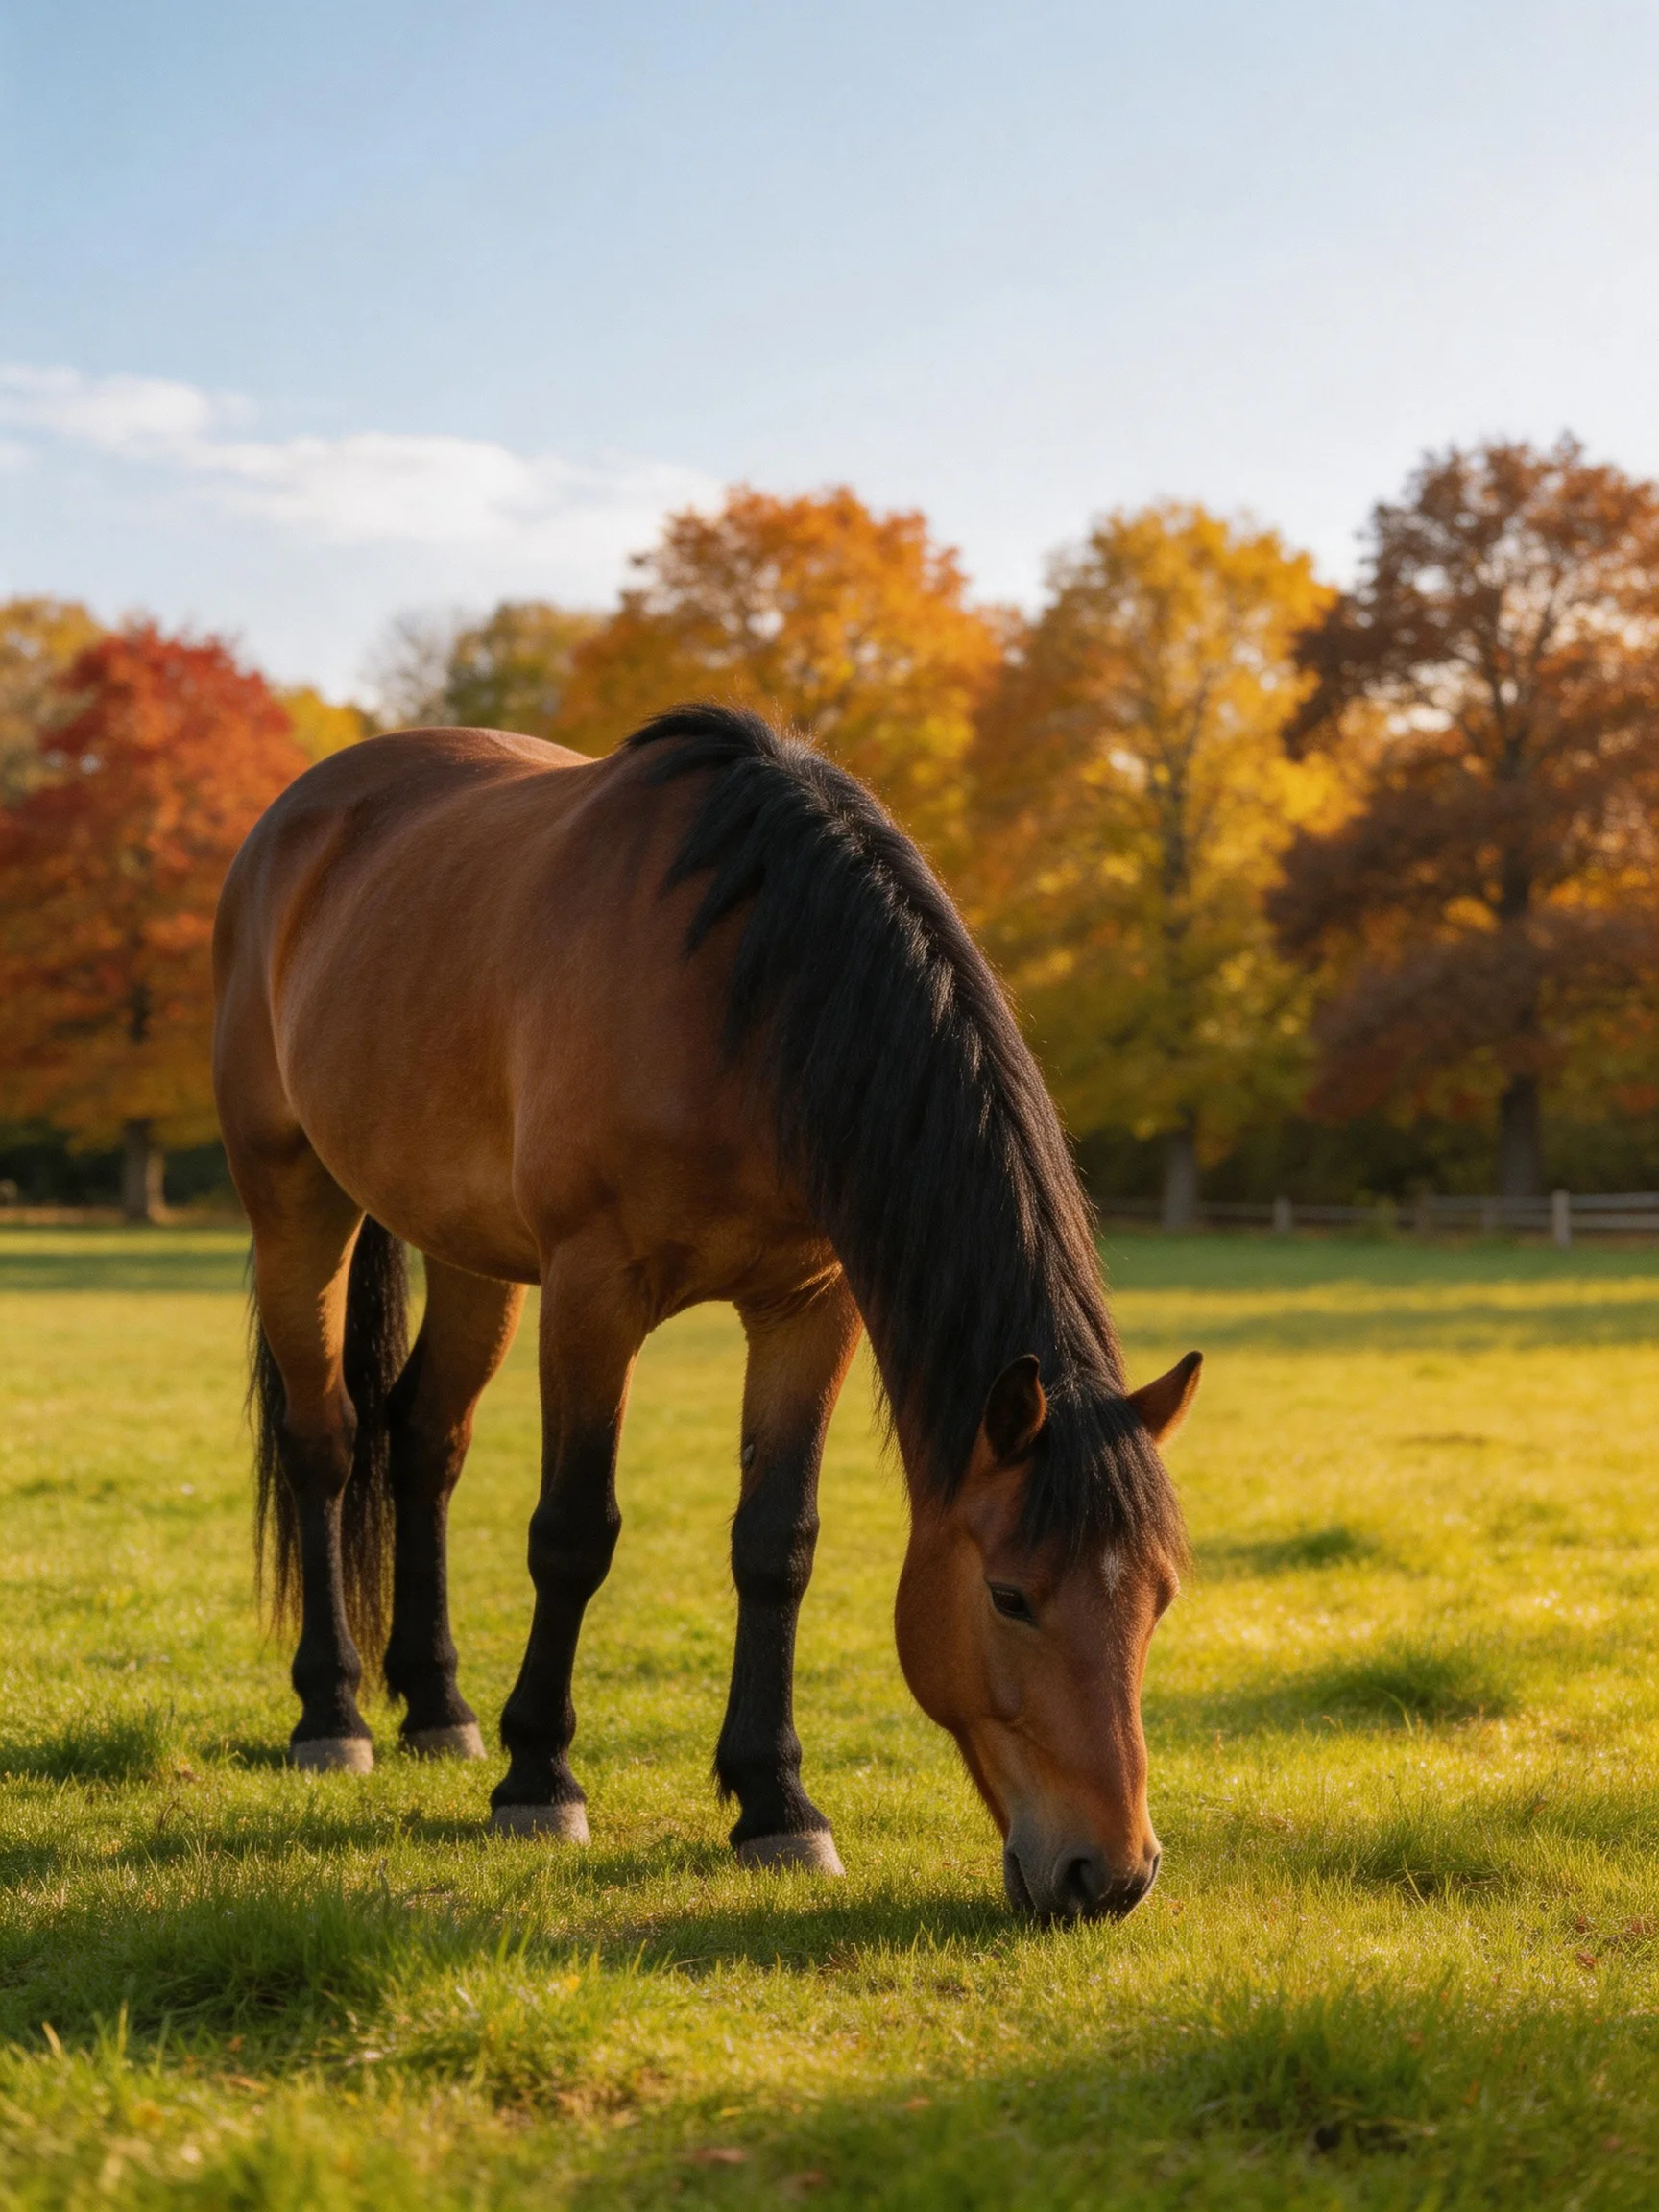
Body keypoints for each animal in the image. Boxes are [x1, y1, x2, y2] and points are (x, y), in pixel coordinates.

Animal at [212, 703, 1199, 1921]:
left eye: (1160, 1597)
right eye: (1010, 1596)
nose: (1110, 1875)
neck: (744, 988)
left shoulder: (810, 1305)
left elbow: (777, 1545)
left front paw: (777, 1805)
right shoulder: (593, 1289)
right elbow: (573, 1534)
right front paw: (540, 1781)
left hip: (473, 1253)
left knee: (425, 1441)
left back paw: (438, 1707)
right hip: (295, 1200)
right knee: (327, 1443)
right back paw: (333, 1712)